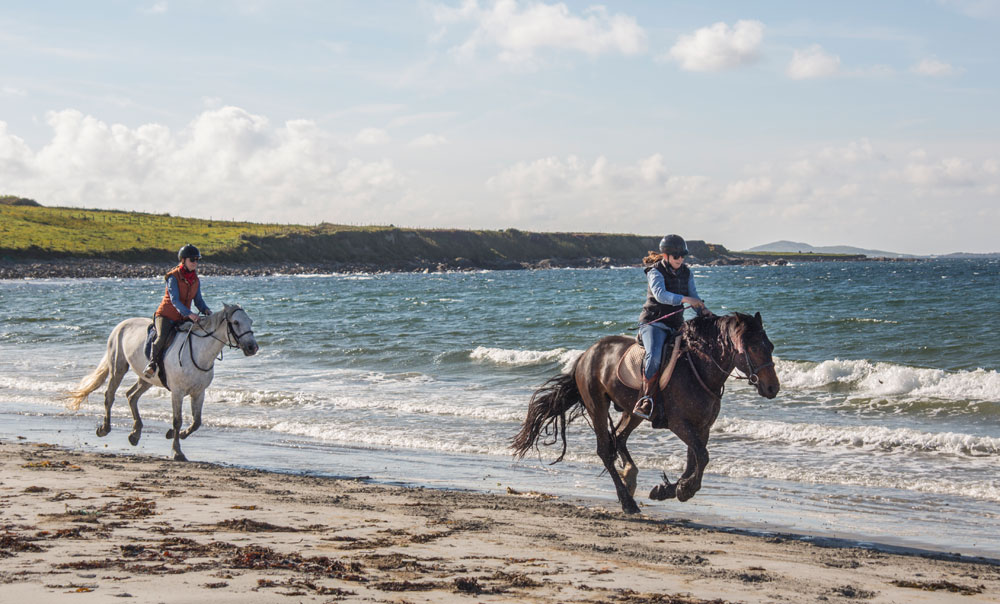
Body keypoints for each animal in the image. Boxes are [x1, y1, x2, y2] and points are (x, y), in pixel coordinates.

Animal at [69, 304, 260, 460]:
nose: (253, 347)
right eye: (236, 322)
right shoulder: (177, 392)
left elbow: (196, 422)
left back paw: (135, 433)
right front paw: (177, 451)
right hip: (118, 368)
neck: (200, 352)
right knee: (110, 395)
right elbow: (177, 420)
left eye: (250, 321)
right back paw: (104, 429)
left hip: (147, 379)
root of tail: (120, 325)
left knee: (131, 395)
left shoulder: (199, 392)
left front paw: (176, 434)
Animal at [516, 312, 780, 516]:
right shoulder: (679, 423)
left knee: (619, 438)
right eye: (752, 347)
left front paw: (669, 489)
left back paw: (630, 476)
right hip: (597, 406)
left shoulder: (702, 426)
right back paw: (628, 502)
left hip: (632, 412)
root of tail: (585, 355)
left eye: (770, 347)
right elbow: (702, 457)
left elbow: (694, 459)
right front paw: (684, 490)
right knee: (605, 449)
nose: (772, 388)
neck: (699, 369)